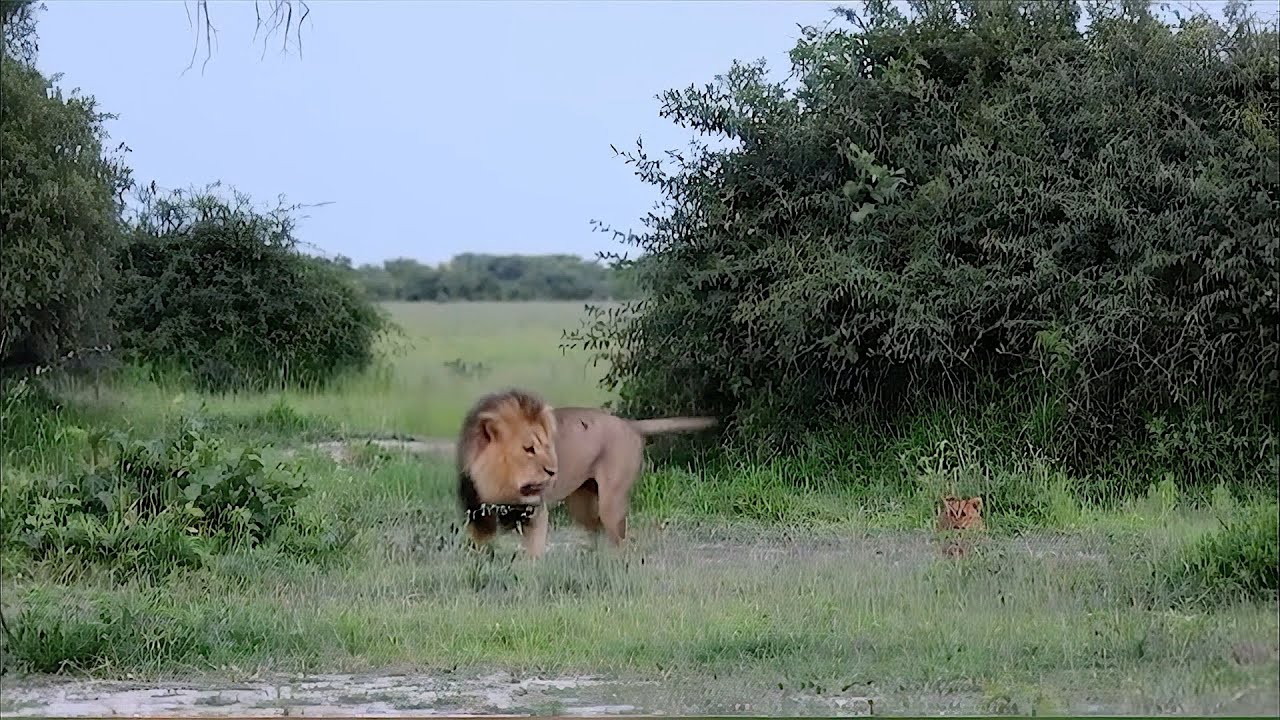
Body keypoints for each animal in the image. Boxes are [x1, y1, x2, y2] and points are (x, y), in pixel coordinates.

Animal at [455, 387, 717, 557]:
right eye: (528, 449)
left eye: (548, 446)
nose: (553, 471)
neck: (500, 483)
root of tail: (629, 424)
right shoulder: (477, 514)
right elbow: (478, 551)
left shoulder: (535, 512)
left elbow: (531, 555)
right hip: (581, 503)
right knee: (596, 531)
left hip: (611, 503)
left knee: (622, 541)